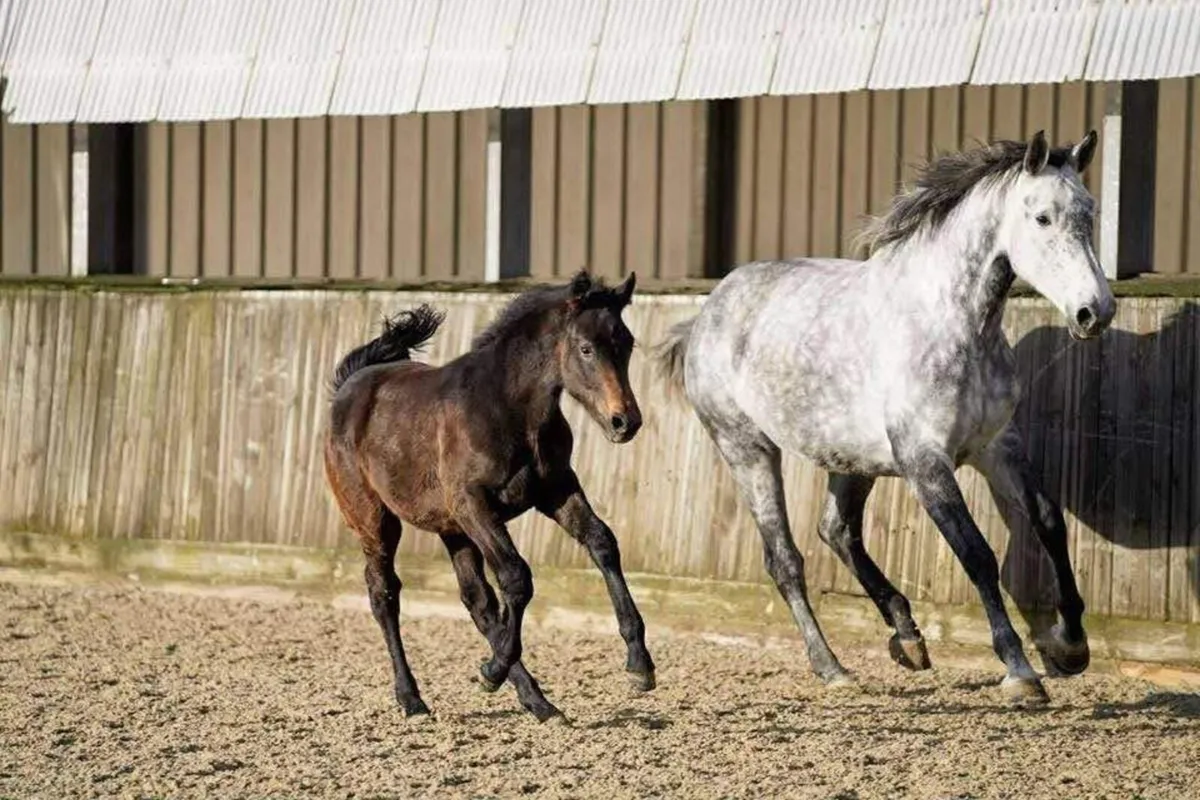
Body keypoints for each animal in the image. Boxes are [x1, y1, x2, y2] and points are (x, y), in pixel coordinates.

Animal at [324, 271, 654, 722]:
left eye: (627, 343)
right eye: (586, 348)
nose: (625, 422)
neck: (509, 410)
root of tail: (349, 386)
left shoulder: (556, 491)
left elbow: (602, 543)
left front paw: (640, 664)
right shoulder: (475, 506)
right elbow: (517, 577)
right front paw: (491, 671)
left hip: (452, 529)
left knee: (477, 600)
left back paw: (538, 702)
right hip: (376, 520)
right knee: (384, 594)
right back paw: (414, 699)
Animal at [654, 130, 1113, 705]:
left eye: (1089, 212)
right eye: (1042, 218)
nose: (1096, 312)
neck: (954, 324)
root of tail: (705, 315)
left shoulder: (997, 445)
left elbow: (1049, 522)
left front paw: (1070, 647)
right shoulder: (925, 462)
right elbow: (977, 554)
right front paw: (1020, 671)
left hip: (851, 459)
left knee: (837, 532)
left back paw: (907, 637)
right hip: (747, 450)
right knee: (785, 560)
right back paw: (832, 667)